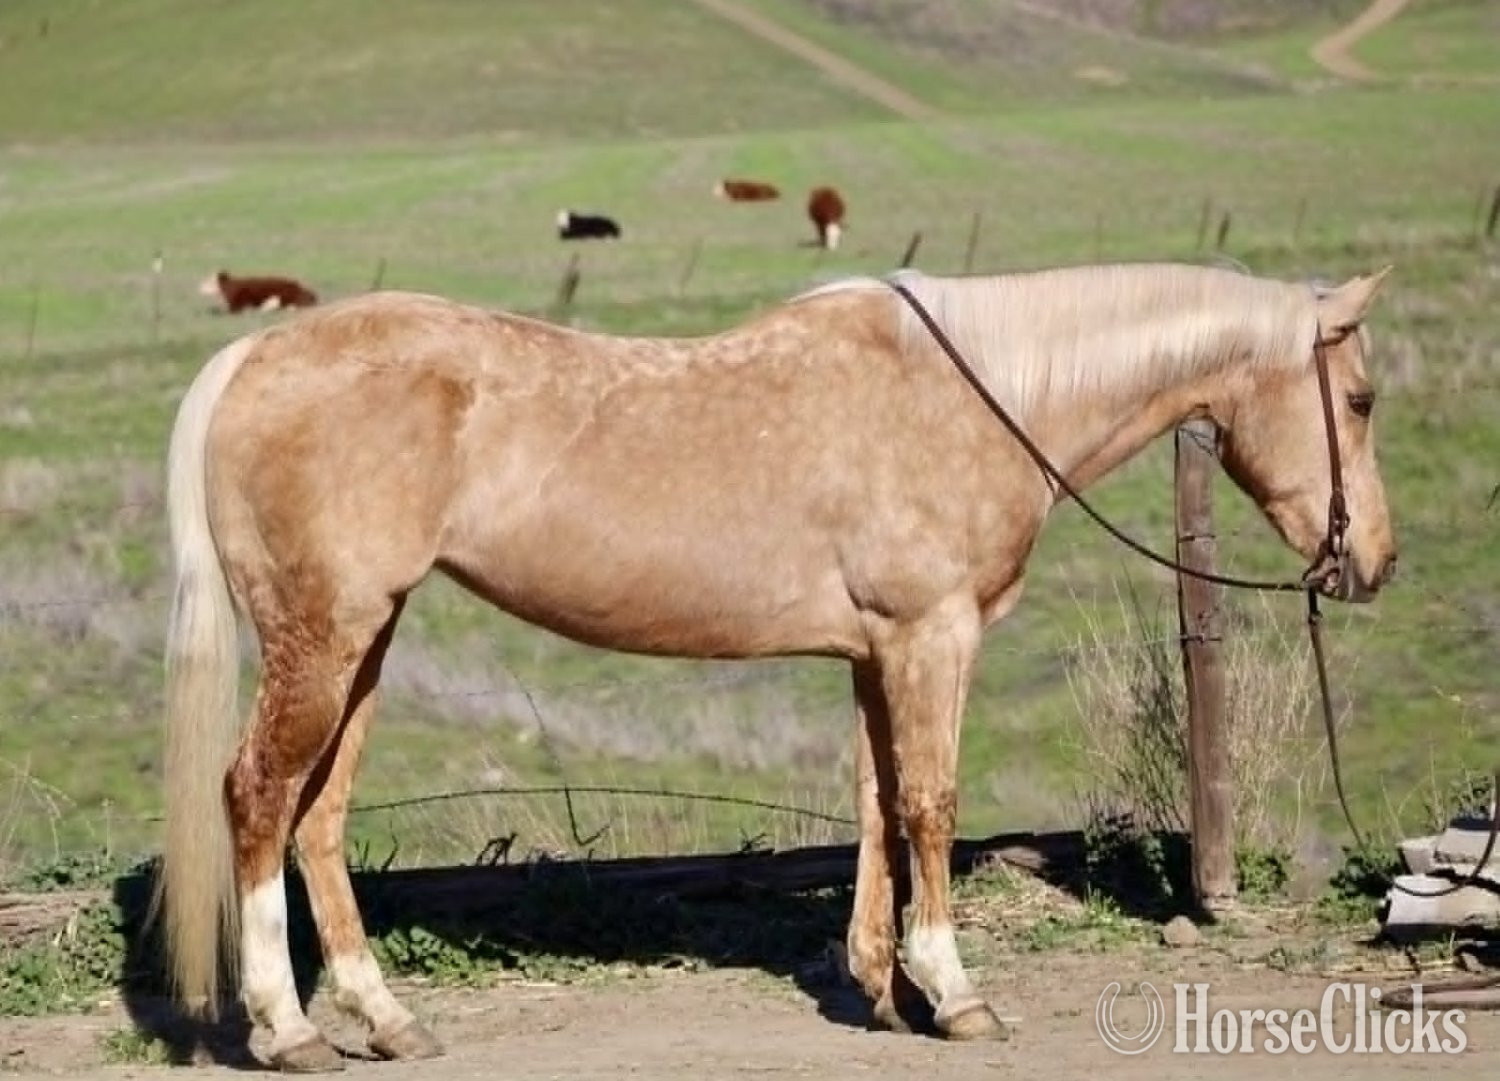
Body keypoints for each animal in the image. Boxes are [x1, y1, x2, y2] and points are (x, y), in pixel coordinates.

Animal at [155, 260, 1397, 1069]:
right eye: (1362, 397)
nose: (1374, 560)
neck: (980, 392)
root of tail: (256, 354)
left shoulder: (879, 649)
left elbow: (879, 802)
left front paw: (882, 989)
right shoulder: (933, 636)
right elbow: (931, 803)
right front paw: (953, 992)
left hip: (364, 642)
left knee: (317, 818)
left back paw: (387, 1021)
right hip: (325, 638)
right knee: (257, 797)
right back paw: (289, 1028)